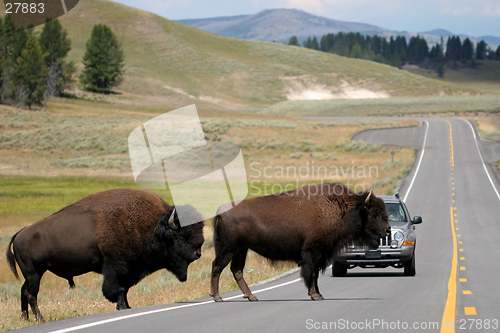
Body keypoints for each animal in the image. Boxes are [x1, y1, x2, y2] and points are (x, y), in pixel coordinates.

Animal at [5, 189, 205, 322]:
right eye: (182, 235)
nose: (198, 253)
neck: (153, 227)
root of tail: (19, 234)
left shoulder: (130, 270)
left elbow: (125, 289)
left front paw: (127, 306)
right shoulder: (117, 267)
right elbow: (119, 288)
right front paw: (122, 307)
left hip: (33, 274)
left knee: (24, 291)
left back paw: (25, 319)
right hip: (34, 273)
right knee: (31, 294)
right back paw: (40, 319)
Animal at [210, 182, 390, 300]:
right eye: (374, 213)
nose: (388, 230)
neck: (341, 208)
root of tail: (220, 212)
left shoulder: (319, 254)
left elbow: (315, 274)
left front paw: (318, 294)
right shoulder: (312, 253)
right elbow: (311, 273)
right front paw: (315, 295)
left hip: (241, 249)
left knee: (236, 270)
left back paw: (251, 296)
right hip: (228, 249)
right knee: (217, 267)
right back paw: (217, 297)